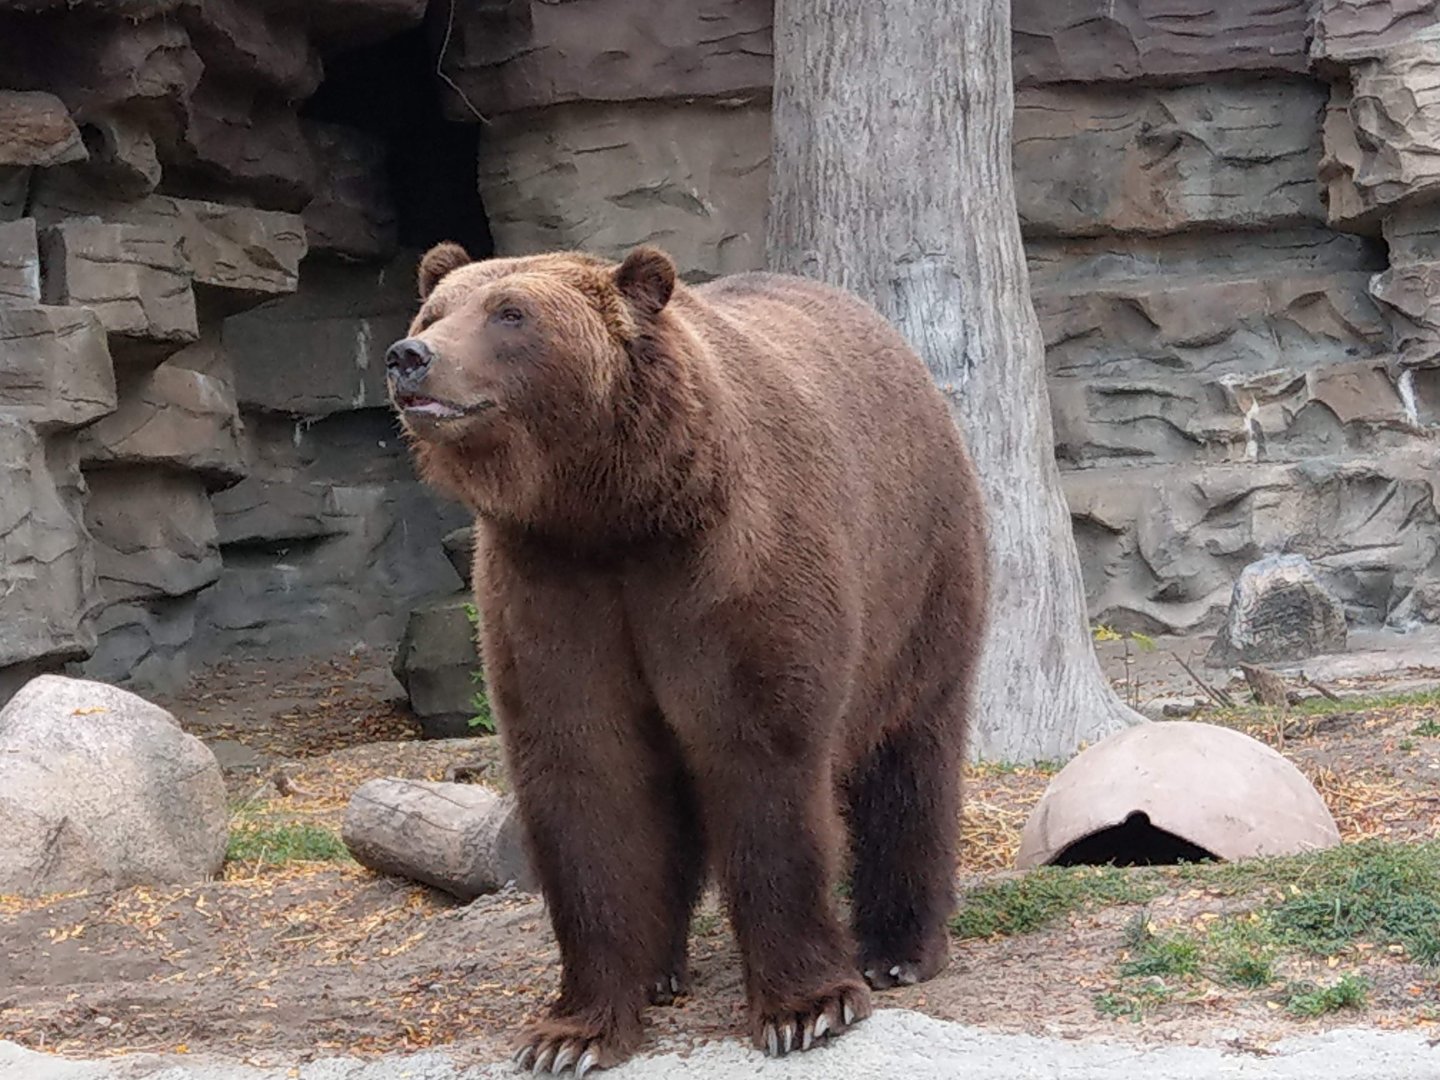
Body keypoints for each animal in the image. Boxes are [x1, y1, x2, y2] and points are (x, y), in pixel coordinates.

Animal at [384, 241, 990, 1076]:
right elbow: (582, 772)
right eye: (433, 312)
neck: (614, 511)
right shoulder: (550, 586)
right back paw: (659, 969)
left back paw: (898, 948)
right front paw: (572, 1031)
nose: (409, 357)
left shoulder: (730, 565)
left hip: (921, 576)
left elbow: (762, 757)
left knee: (911, 754)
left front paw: (805, 1008)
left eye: (511, 313)